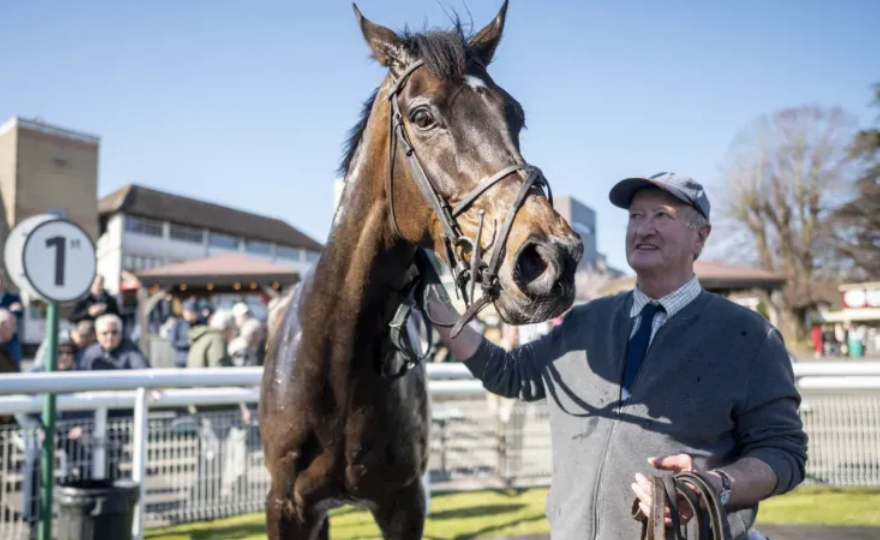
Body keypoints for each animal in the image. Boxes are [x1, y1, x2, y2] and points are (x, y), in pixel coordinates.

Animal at [258, 2, 583, 539]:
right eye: (422, 116)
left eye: (515, 115)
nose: (552, 259)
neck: (340, 361)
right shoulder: (288, 507)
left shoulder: (406, 503)